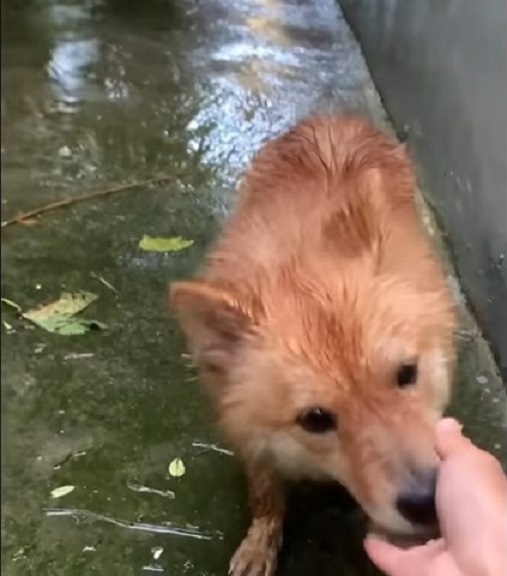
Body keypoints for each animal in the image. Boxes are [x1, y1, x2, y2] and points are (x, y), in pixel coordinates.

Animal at [170, 116, 456, 576]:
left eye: (406, 373)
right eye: (316, 419)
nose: (427, 502)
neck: (299, 264)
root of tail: (332, 118)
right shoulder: (246, 428)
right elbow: (265, 494)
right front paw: (260, 541)